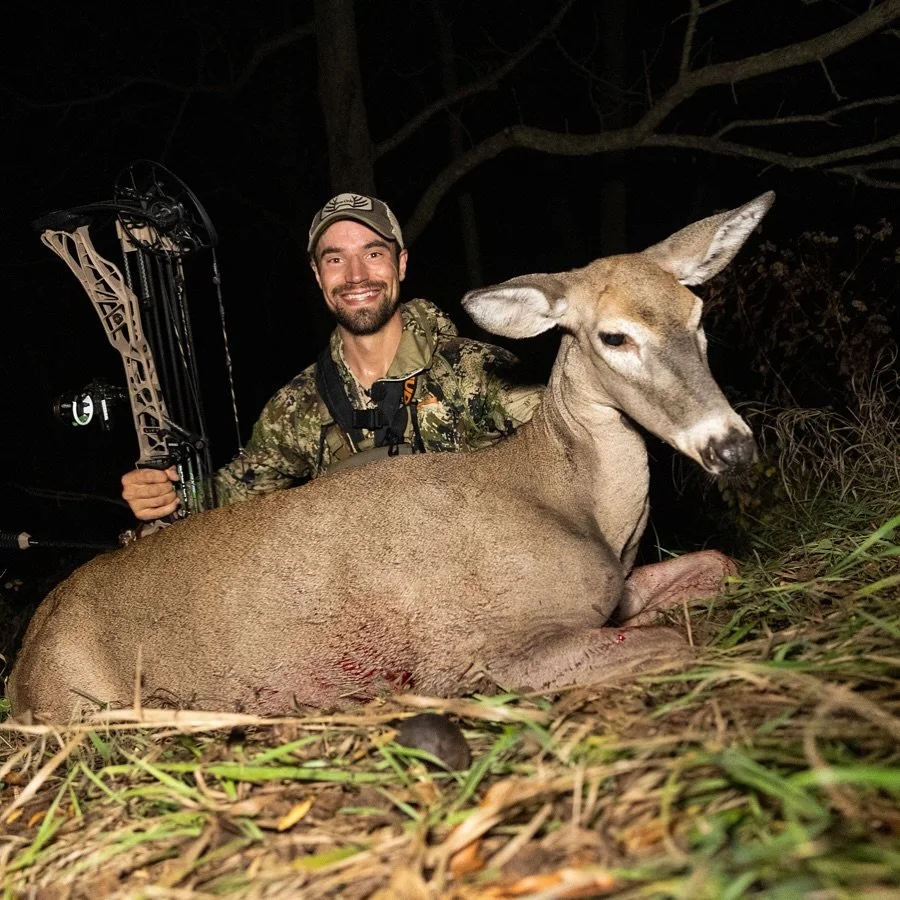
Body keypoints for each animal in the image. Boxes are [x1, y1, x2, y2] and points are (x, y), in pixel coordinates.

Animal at [7, 192, 774, 723]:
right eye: (614, 336)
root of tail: (24, 657)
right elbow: (677, 643)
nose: (732, 445)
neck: (571, 502)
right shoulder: (473, 652)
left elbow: (719, 565)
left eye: (697, 317)